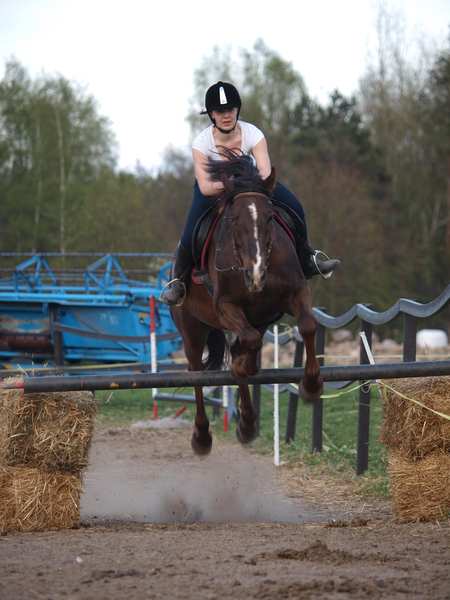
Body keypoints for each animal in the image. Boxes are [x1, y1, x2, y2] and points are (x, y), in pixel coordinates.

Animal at [171, 151, 322, 454]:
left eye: (270, 217)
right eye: (233, 220)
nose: (256, 273)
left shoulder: (296, 293)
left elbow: (308, 326)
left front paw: (311, 386)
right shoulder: (225, 306)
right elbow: (246, 348)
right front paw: (240, 367)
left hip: (259, 319)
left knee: (243, 347)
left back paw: (248, 424)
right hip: (192, 329)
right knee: (196, 372)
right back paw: (202, 436)